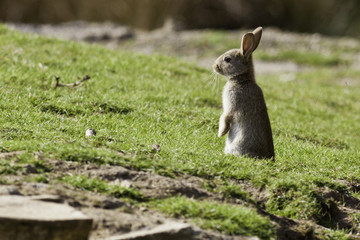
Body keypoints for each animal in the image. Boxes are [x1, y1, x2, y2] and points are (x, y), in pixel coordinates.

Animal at [212, 26, 274, 159]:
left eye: (227, 59)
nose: (214, 66)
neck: (241, 80)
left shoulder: (232, 106)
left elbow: (225, 118)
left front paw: (220, 134)